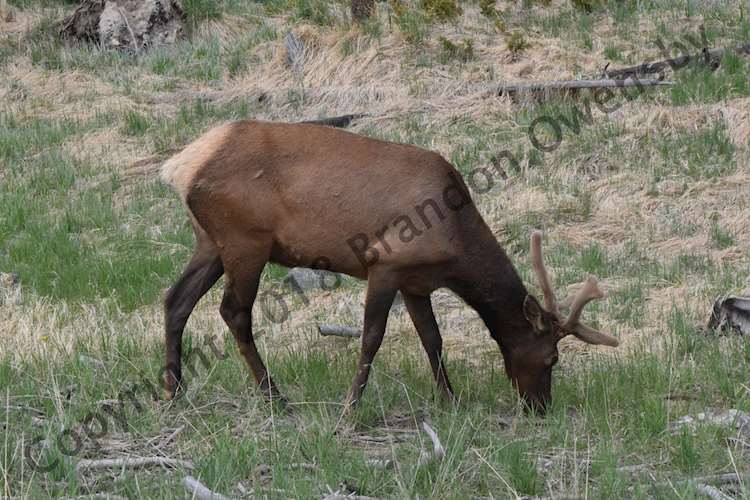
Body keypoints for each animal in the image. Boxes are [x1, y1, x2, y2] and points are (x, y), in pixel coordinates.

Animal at [162, 119, 620, 412]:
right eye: (552, 359)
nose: (540, 407)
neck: (456, 242)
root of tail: (180, 166)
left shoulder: (416, 281)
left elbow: (433, 339)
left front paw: (449, 400)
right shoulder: (385, 263)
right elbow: (372, 339)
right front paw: (350, 409)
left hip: (210, 241)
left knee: (175, 299)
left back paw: (174, 391)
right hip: (245, 240)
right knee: (234, 312)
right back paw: (276, 397)